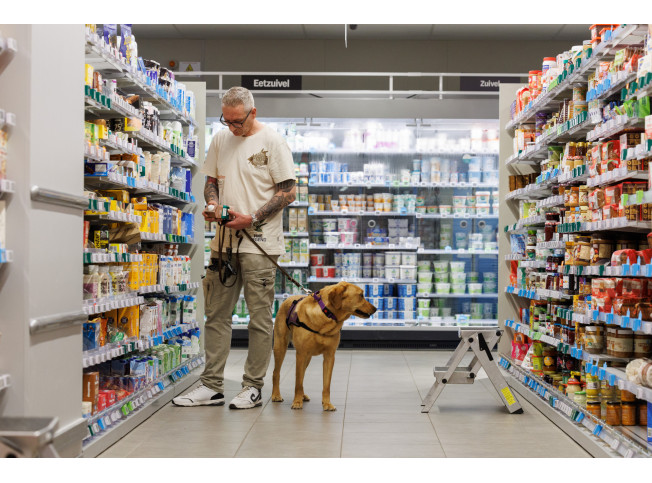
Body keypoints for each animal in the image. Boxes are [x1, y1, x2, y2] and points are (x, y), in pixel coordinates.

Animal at [272, 282, 376, 410]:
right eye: (361, 295)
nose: (375, 309)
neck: (326, 314)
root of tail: (288, 299)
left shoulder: (329, 356)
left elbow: (326, 385)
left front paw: (327, 403)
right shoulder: (301, 354)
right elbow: (298, 382)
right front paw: (297, 402)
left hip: (307, 357)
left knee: (302, 376)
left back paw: (302, 395)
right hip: (280, 346)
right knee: (277, 373)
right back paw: (276, 395)